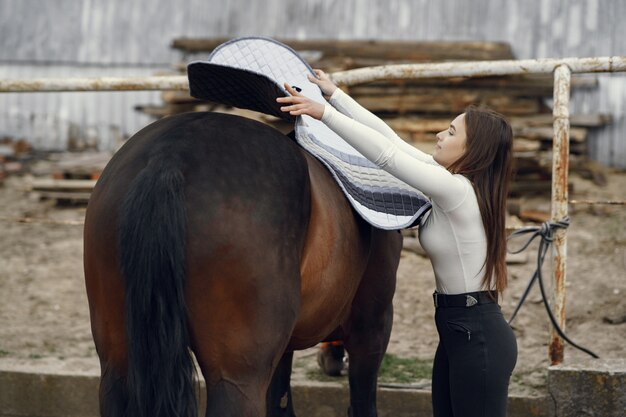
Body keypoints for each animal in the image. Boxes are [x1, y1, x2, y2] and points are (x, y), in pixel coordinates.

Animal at [83, 111, 402, 416]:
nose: (330, 362)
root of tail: (169, 157)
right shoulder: (372, 326)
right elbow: (362, 405)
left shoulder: (284, 350)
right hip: (238, 376)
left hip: (116, 364)